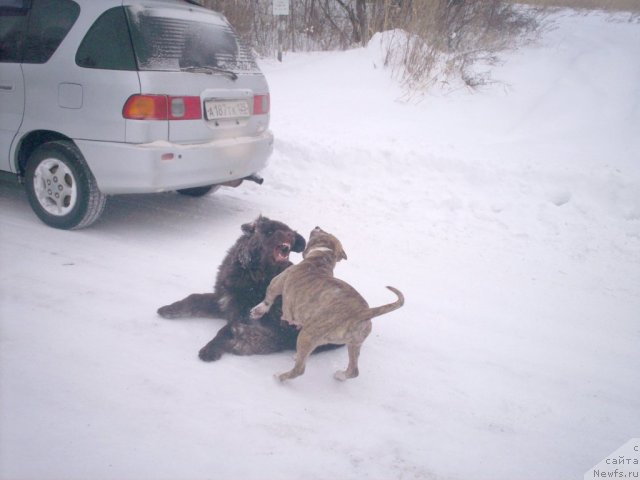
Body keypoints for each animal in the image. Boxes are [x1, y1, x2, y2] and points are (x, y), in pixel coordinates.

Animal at [155, 217, 304, 360]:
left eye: (290, 234)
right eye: (269, 232)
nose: (289, 236)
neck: (251, 272)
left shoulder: (244, 314)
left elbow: (225, 331)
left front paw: (211, 348)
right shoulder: (223, 301)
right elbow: (194, 298)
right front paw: (170, 309)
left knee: (276, 340)